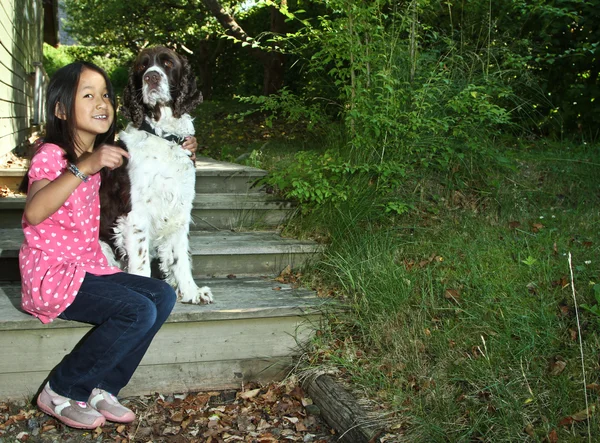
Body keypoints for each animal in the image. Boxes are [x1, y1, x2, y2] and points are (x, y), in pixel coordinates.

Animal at [101, 47, 216, 306]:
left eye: (168, 63)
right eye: (141, 66)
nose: (151, 77)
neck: (164, 136)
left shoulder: (180, 208)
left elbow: (179, 257)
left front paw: (191, 292)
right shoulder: (136, 216)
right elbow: (141, 263)